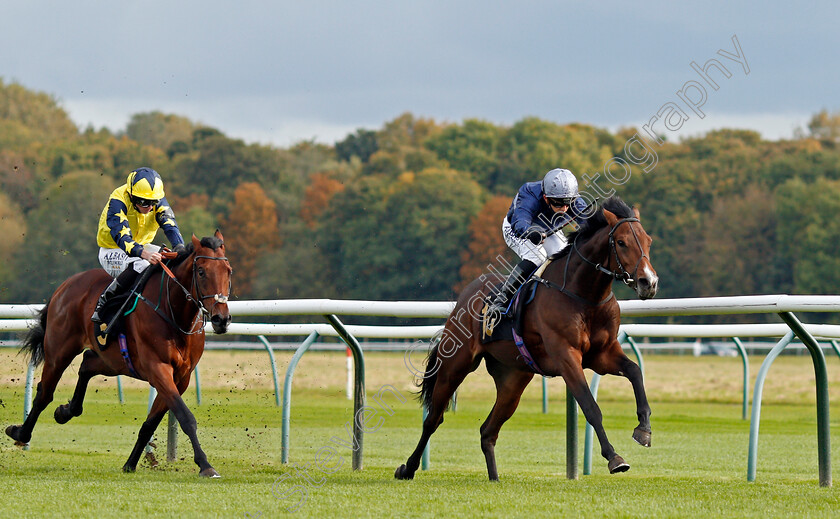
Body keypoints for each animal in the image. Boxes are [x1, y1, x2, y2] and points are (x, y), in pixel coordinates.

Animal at [5, 232, 233, 480]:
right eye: (201, 271)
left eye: (228, 271)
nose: (221, 319)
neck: (173, 313)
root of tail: (64, 286)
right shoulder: (158, 369)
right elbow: (185, 417)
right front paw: (205, 464)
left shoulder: (181, 378)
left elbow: (150, 424)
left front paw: (131, 463)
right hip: (59, 350)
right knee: (45, 393)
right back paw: (20, 433)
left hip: (114, 360)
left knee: (87, 363)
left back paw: (66, 411)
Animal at [398, 197, 660, 482]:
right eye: (621, 242)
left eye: (648, 241)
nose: (649, 282)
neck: (583, 296)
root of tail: (466, 295)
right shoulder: (566, 357)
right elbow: (590, 406)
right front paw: (614, 457)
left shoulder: (602, 355)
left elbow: (634, 371)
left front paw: (644, 429)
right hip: (455, 365)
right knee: (433, 419)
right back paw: (407, 468)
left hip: (513, 379)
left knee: (488, 430)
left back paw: (494, 477)